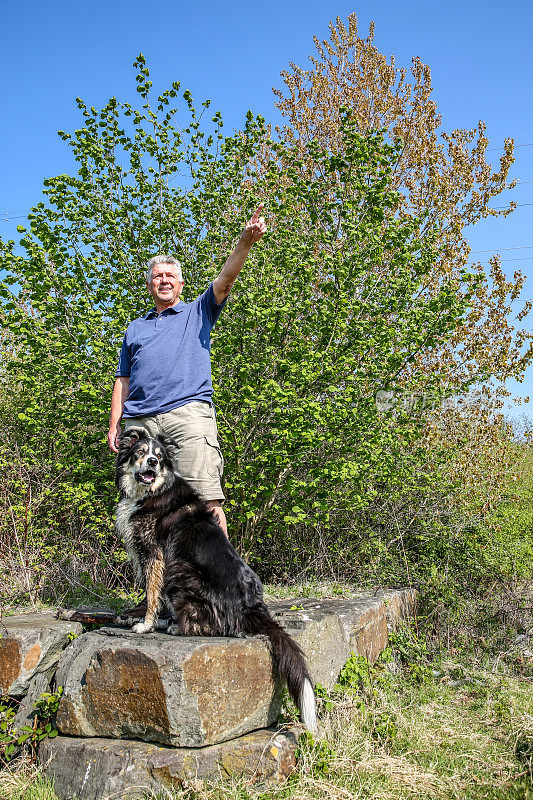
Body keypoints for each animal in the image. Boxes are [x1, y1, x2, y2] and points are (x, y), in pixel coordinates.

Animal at [115, 428, 316, 736]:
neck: (153, 490)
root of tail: (251, 606)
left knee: (215, 626)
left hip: (180, 571)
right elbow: (153, 594)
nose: (152, 462)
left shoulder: (156, 553)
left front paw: (145, 624)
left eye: (159, 456)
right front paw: (149, 618)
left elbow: (151, 593)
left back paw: (177, 626)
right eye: (140, 452)